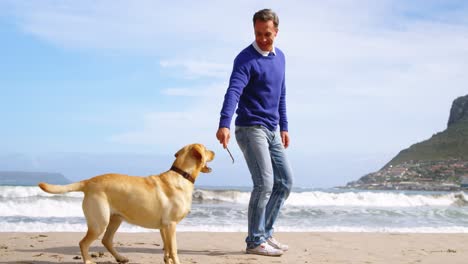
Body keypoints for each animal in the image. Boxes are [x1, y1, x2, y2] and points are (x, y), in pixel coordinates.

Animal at [39, 143, 215, 264]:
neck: (182, 174)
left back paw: (120, 258)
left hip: (115, 219)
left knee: (106, 240)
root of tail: (89, 181)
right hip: (100, 222)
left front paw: (167, 261)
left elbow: (167, 248)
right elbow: (174, 249)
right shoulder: (171, 225)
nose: (214, 151)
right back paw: (88, 260)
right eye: (206, 149)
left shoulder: (164, 227)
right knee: (83, 242)